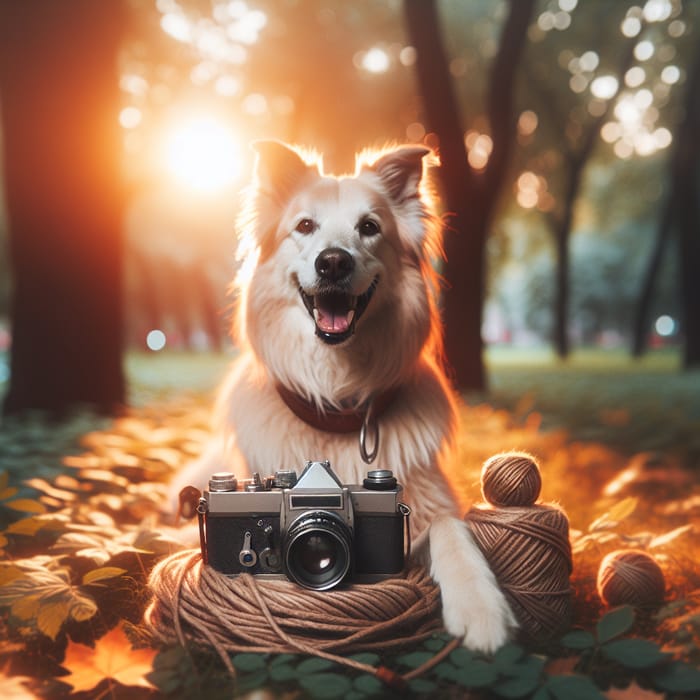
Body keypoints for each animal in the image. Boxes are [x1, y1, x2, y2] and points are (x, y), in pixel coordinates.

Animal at [172, 141, 516, 652]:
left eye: (369, 227)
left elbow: (451, 530)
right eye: (305, 226)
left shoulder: (428, 502)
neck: (337, 400)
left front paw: (481, 608)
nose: (333, 261)